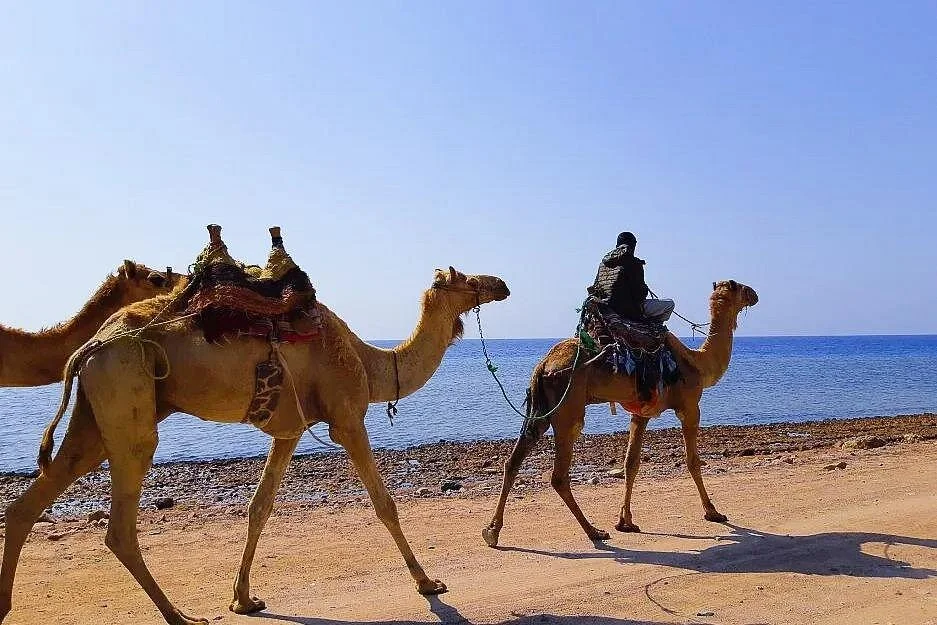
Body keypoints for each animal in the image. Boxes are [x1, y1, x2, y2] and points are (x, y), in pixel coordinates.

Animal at [482, 280, 758, 548]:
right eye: (739, 286)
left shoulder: (642, 412)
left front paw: (625, 521)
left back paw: (492, 531)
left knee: (513, 461)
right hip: (569, 405)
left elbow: (631, 463)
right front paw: (713, 512)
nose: (754, 294)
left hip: (539, 407)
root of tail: (543, 366)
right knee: (559, 474)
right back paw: (594, 531)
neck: (697, 362)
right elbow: (692, 461)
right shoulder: (690, 408)